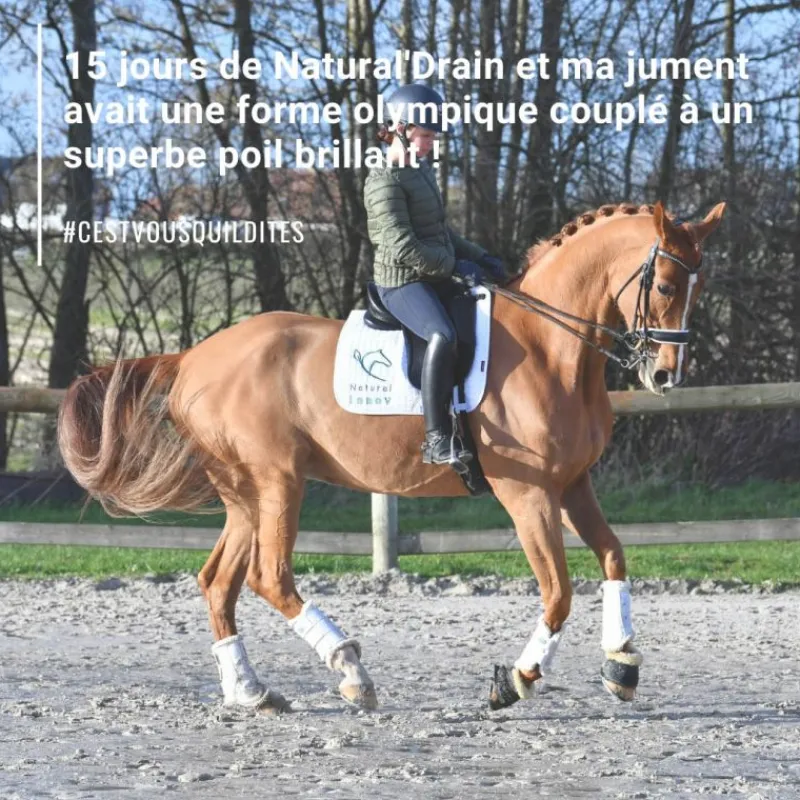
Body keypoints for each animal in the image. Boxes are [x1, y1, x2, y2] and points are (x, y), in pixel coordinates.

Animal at [58, 199, 725, 713]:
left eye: (699, 288)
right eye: (667, 285)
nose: (665, 375)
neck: (550, 349)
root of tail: (194, 358)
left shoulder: (573, 484)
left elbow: (614, 557)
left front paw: (622, 664)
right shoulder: (528, 493)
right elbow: (558, 590)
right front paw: (515, 680)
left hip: (244, 494)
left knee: (219, 583)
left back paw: (252, 693)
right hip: (277, 483)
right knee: (269, 576)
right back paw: (351, 672)